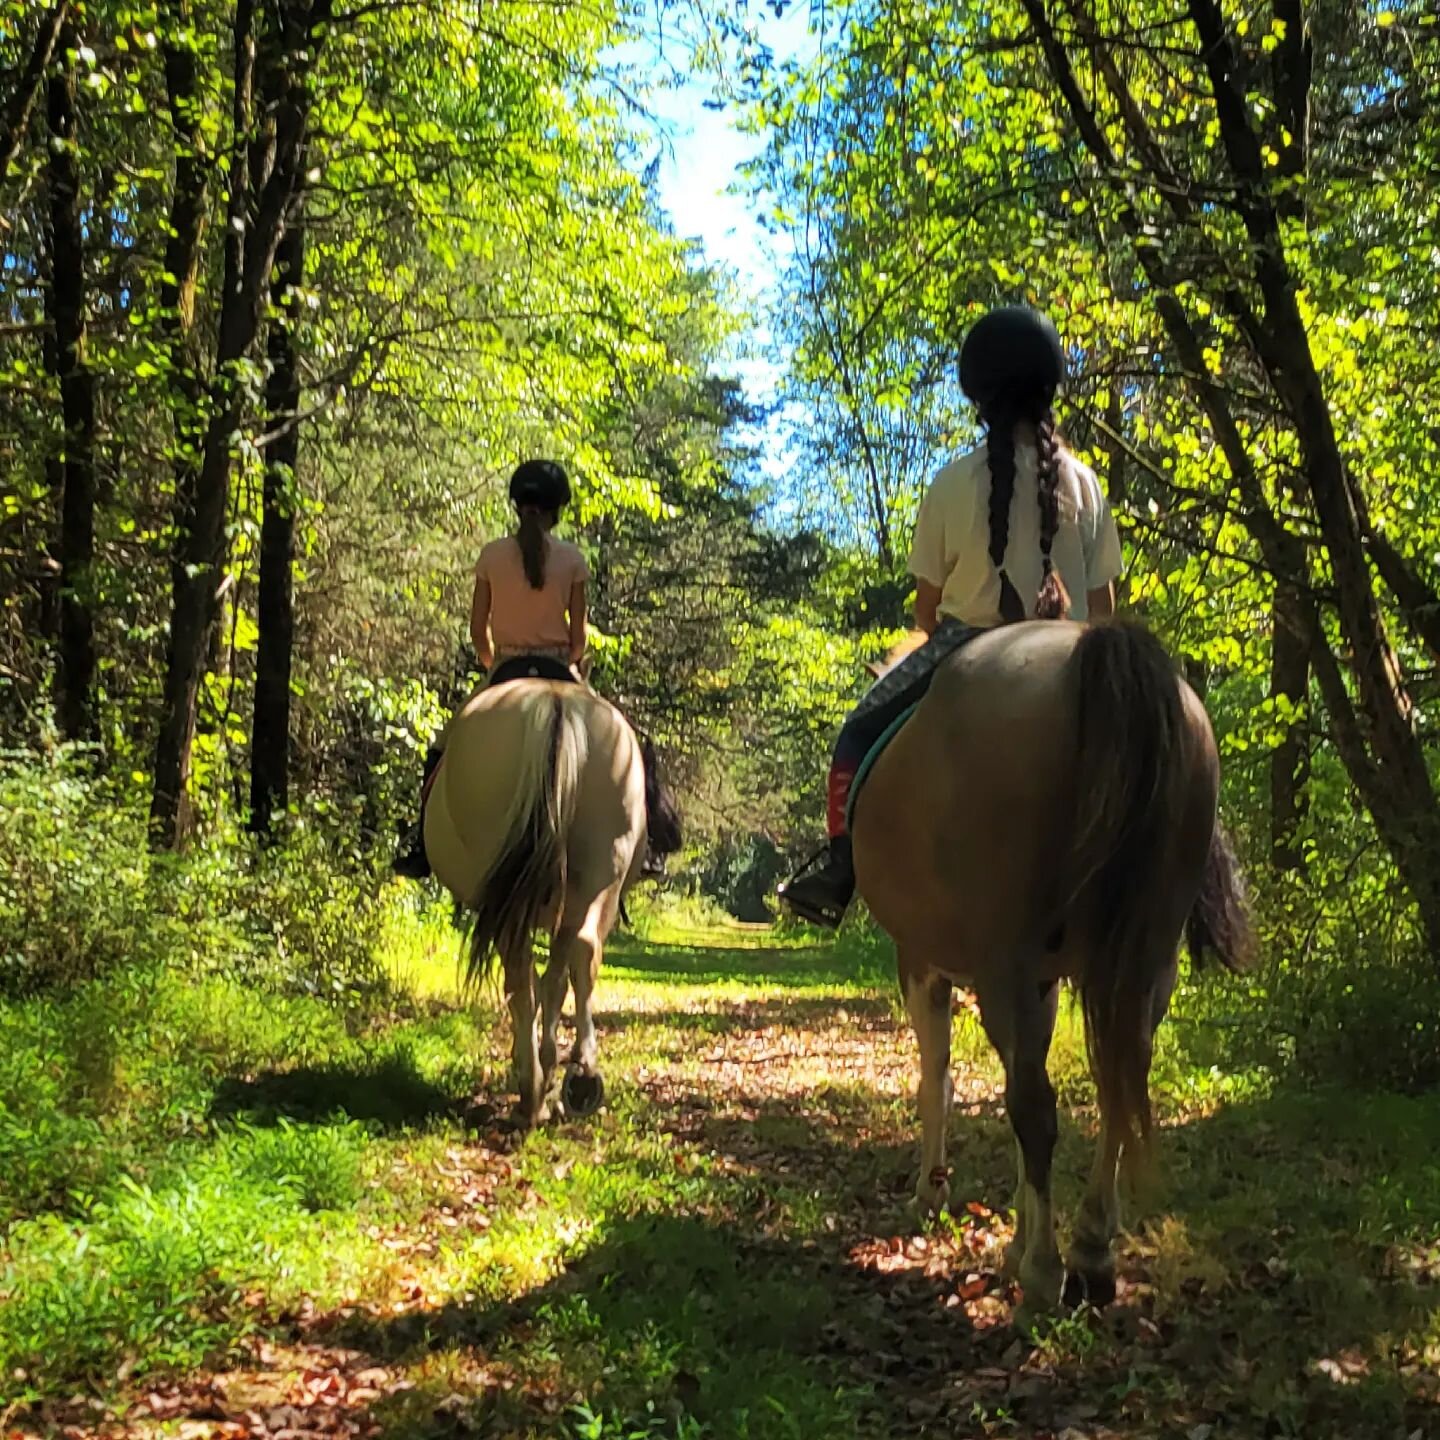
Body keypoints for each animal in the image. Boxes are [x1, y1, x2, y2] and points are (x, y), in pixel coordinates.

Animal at [426, 679, 648, 1128]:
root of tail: (554, 701)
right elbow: (556, 979)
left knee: (520, 974)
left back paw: (532, 1088)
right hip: (601, 866)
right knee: (581, 952)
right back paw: (578, 1074)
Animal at [852, 619, 1249, 1324]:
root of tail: (1098, 649)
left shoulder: (924, 962)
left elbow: (939, 1082)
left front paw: (934, 1196)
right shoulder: (1041, 977)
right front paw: (1014, 1235)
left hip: (1005, 965)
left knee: (1035, 1107)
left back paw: (1044, 1271)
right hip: (1143, 962)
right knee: (1117, 1081)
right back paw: (1090, 1250)